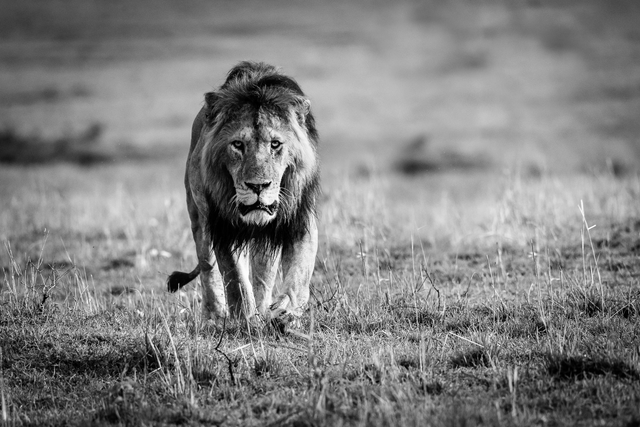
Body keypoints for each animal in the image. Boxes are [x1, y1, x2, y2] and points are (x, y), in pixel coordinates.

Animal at [167, 61, 320, 329]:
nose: (258, 186)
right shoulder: (223, 224)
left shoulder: (301, 220)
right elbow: (235, 278)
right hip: (199, 217)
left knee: (263, 276)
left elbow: (299, 274)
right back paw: (215, 316)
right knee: (208, 267)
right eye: (238, 144)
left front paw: (284, 312)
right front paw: (245, 319)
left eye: (275, 144)